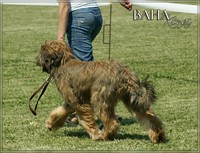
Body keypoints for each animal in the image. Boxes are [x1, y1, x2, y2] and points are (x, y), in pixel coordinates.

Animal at [36, 40, 165, 143]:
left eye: (41, 52)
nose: (36, 60)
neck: (63, 62)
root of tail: (124, 73)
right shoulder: (70, 102)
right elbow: (59, 112)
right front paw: (51, 124)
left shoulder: (79, 103)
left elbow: (86, 120)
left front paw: (95, 134)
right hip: (131, 99)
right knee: (150, 117)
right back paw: (157, 135)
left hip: (100, 99)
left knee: (112, 122)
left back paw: (104, 135)